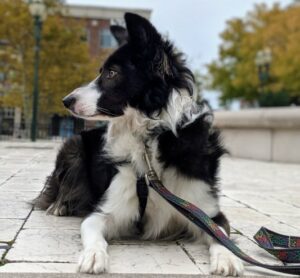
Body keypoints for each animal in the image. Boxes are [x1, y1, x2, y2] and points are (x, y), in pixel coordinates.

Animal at [34, 11, 244, 274]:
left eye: (111, 73)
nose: (66, 100)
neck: (148, 138)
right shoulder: (103, 212)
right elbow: (93, 234)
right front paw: (93, 255)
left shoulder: (207, 212)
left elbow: (220, 237)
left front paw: (227, 258)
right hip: (73, 147)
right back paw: (59, 205)